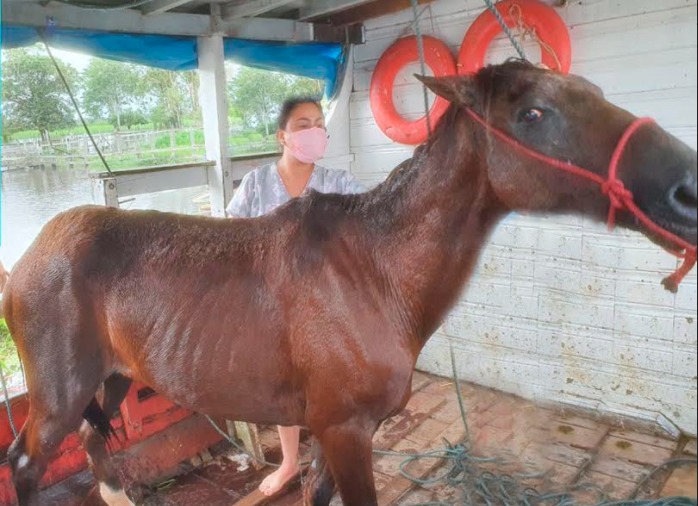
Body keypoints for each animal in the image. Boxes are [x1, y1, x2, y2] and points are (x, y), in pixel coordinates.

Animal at [3, 60, 697, 506]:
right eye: (532, 113)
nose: (687, 189)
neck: (373, 272)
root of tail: (29, 255)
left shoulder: (337, 434)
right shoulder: (345, 431)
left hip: (114, 376)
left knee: (94, 446)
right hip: (60, 395)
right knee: (28, 465)